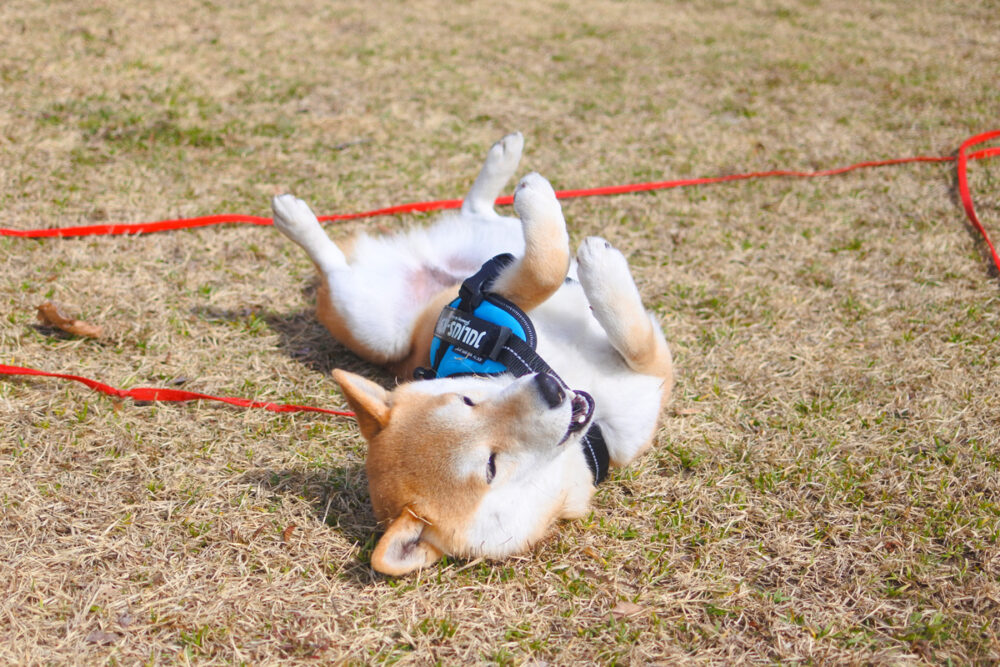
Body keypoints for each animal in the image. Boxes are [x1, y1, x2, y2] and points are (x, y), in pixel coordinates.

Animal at [274, 134, 672, 576]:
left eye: (467, 398)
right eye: (490, 466)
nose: (551, 389)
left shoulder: (496, 298)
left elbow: (576, 292)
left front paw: (591, 256)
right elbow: (552, 273)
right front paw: (597, 257)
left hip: (474, 259)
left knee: (477, 210)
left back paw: (506, 159)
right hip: (374, 327)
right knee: (332, 267)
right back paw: (293, 218)